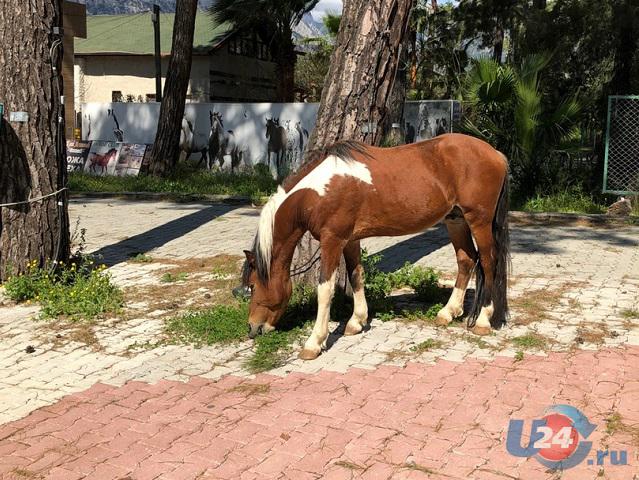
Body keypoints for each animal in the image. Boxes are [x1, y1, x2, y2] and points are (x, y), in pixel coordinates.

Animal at [242, 133, 512, 358]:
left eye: (253, 286)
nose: (253, 328)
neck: (318, 191)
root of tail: (497, 154)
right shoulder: (350, 240)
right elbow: (356, 276)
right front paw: (357, 321)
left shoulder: (332, 241)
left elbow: (325, 289)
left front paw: (314, 342)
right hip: (455, 220)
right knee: (466, 260)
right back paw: (448, 312)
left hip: (478, 221)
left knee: (488, 263)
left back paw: (483, 321)